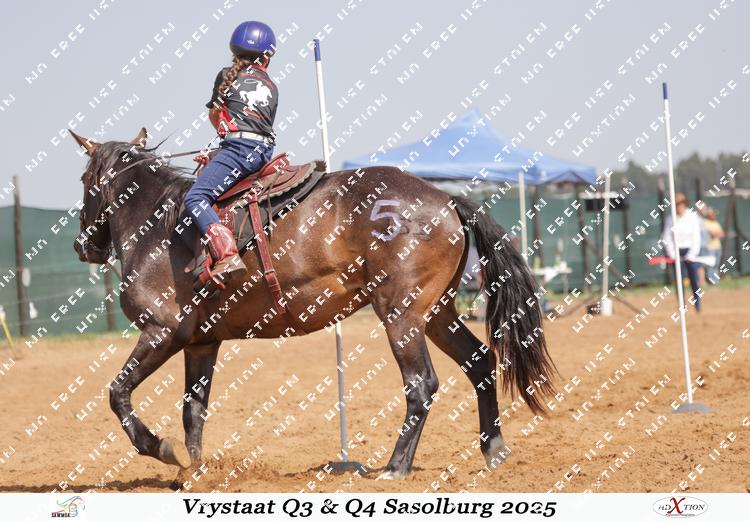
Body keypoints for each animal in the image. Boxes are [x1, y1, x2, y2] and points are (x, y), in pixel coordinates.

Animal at [69, 128, 555, 487]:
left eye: (84, 182)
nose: (81, 245)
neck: (160, 229)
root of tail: (446, 200)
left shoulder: (161, 332)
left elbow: (118, 393)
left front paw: (160, 449)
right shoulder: (201, 343)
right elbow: (193, 411)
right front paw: (194, 472)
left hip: (401, 318)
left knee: (422, 384)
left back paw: (395, 467)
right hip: (436, 315)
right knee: (481, 363)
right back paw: (494, 450)